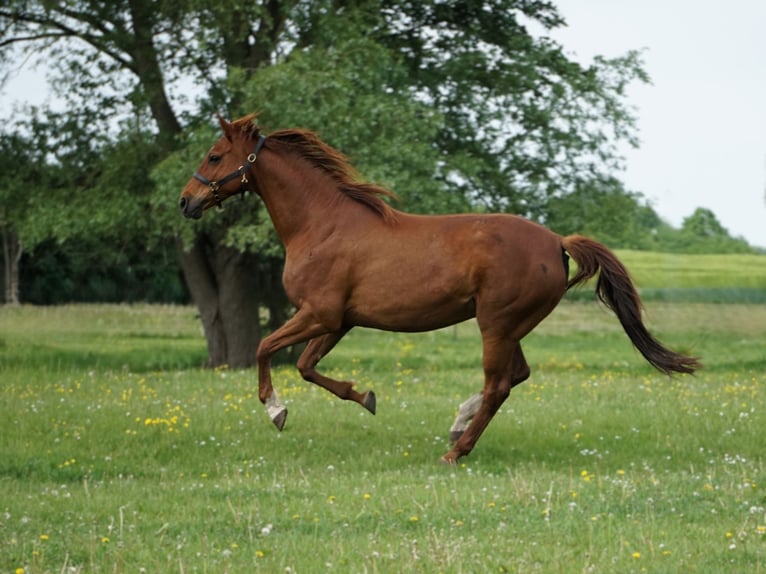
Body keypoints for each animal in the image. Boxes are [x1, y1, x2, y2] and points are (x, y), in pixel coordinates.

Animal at [180, 115, 704, 466]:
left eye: (214, 156)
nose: (187, 201)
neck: (322, 225)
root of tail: (557, 242)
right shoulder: (338, 321)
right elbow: (308, 366)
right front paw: (365, 397)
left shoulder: (319, 314)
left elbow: (265, 347)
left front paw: (277, 411)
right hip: (509, 326)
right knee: (516, 376)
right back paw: (456, 426)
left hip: (495, 324)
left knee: (499, 385)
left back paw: (458, 449)